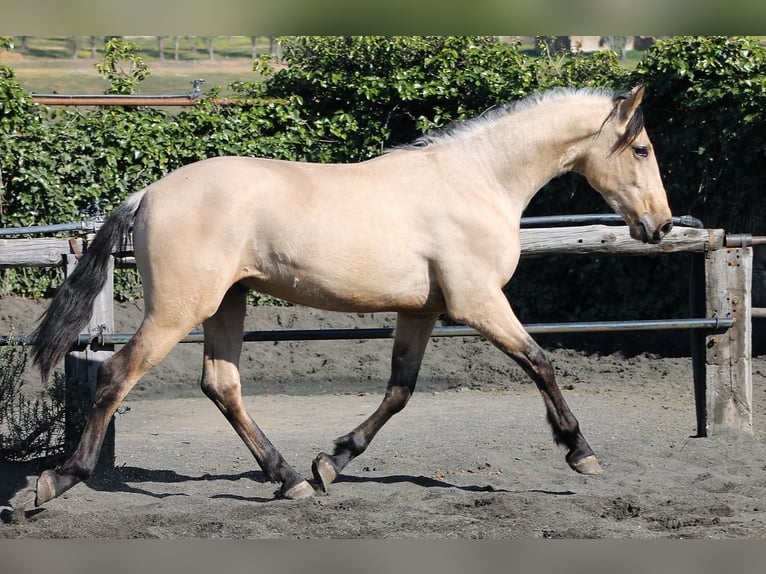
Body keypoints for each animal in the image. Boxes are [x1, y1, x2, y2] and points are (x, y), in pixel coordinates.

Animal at [33, 85, 676, 508]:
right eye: (641, 149)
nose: (662, 226)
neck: (478, 181)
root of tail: (147, 193)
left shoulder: (422, 311)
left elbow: (399, 390)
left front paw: (331, 463)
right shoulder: (478, 302)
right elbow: (540, 361)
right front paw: (580, 452)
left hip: (227, 303)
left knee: (221, 384)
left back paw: (290, 477)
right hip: (177, 311)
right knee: (117, 374)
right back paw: (55, 481)